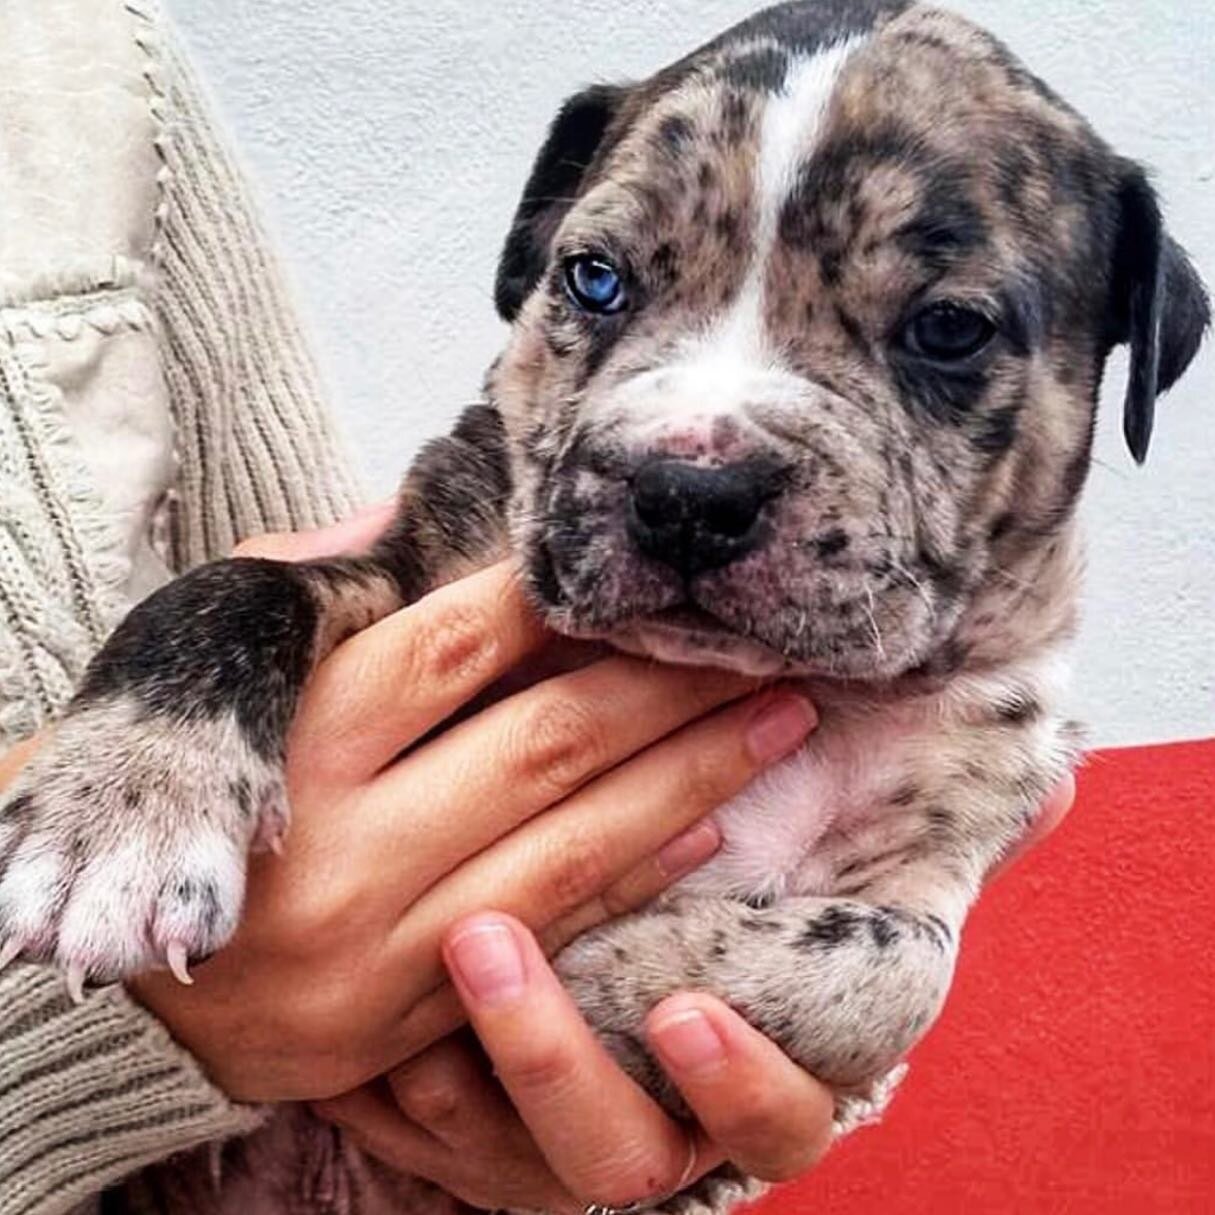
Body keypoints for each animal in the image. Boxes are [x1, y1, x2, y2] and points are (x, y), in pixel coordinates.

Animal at [0, 2, 1205, 1215]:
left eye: (950, 329)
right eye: (593, 278)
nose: (691, 491)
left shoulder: (950, 824)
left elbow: (893, 969)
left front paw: (604, 978)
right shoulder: (411, 570)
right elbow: (230, 588)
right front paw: (129, 804)